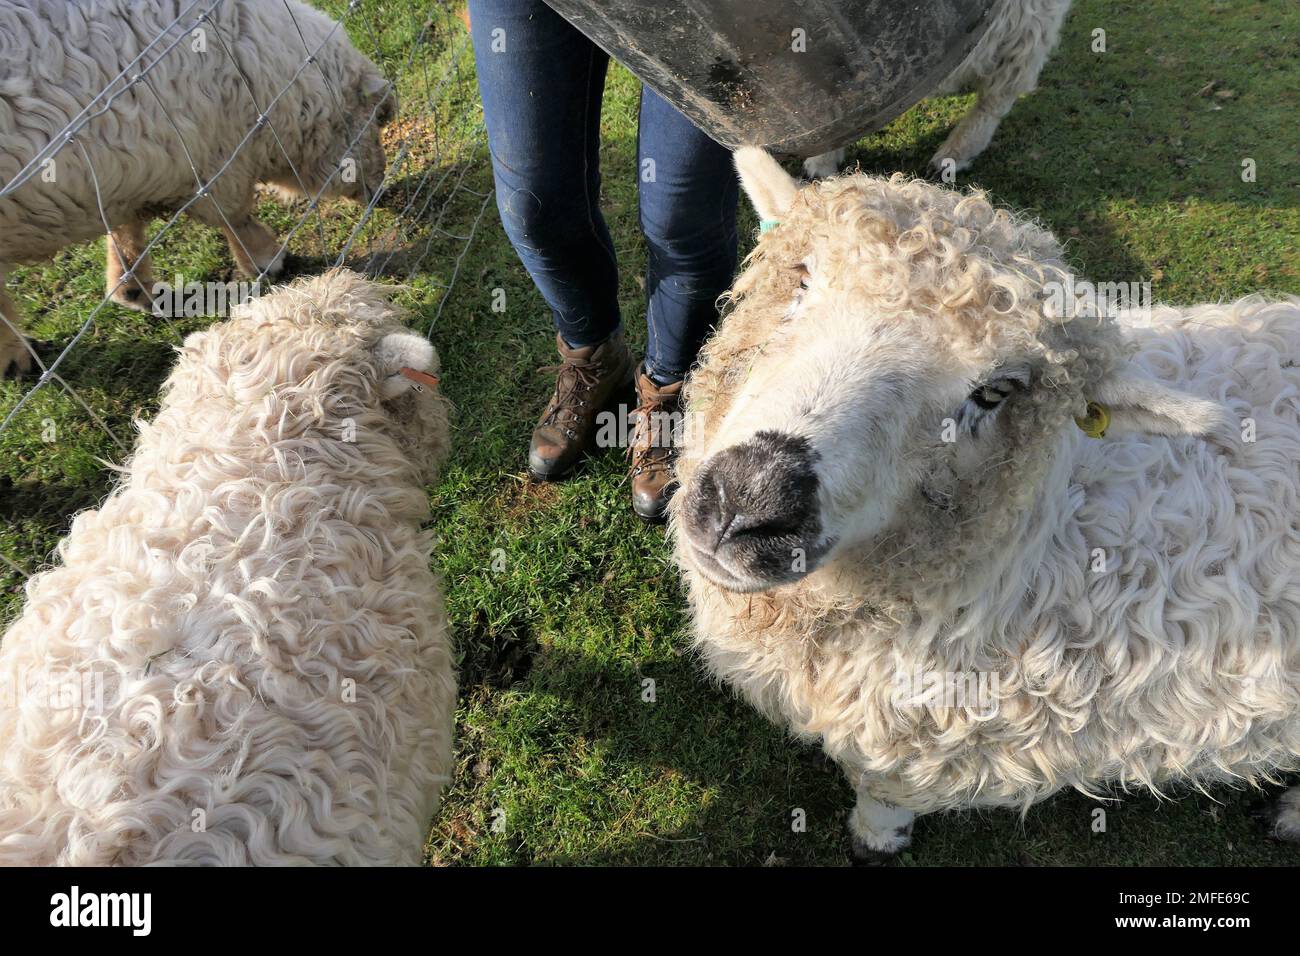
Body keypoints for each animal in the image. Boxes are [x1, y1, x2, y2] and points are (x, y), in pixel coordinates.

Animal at [0, 0, 395, 377]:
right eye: (377, 119)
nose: (381, 191)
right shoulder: (215, 164)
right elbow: (236, 216)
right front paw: (267, 259)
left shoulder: (128, 173)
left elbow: (126, 228)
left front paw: (130, 286)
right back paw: (19, 359)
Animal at [671, 146, 1300, 862]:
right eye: (801, 281)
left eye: (995, 392)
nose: (746, 501)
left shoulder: (910, 749)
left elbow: (882, 797)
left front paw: (874, 843)